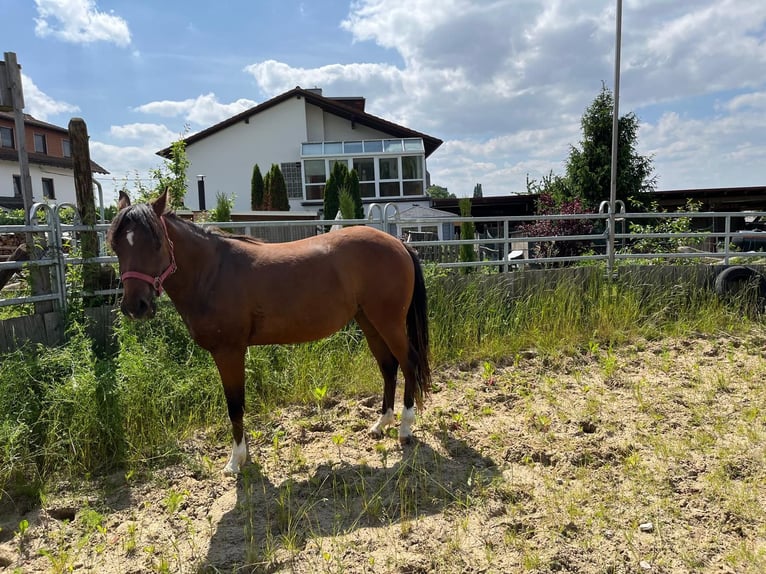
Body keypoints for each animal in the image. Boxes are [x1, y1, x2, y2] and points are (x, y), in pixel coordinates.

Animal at [108, 191, 432, 474]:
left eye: (157, 243)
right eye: (116, 246)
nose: (135, 306)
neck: (212, 273)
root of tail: (399, 244)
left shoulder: (229, 352)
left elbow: (235, 405)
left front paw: (235, 462)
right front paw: (244, 457)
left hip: (388, 322)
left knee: (409, 363)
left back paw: (404, 429)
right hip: (369, 322)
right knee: (388, 367)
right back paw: (381, 424)